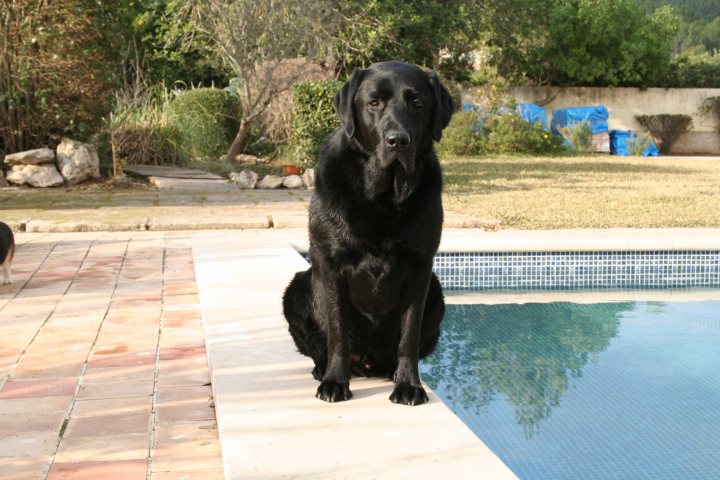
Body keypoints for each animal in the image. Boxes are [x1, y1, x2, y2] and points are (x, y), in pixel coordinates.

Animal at [282, 60, 450, 404]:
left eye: (417, 104)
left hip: (437, 294)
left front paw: (409, 384)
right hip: (297, 288)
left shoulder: (420, 267)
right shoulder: (331, 264)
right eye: (374, 102)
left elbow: (409, 336)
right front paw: (335, 381)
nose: (397, 140)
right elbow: (337, 330)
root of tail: (369, 362)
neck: (384, 196)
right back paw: (322, 369)